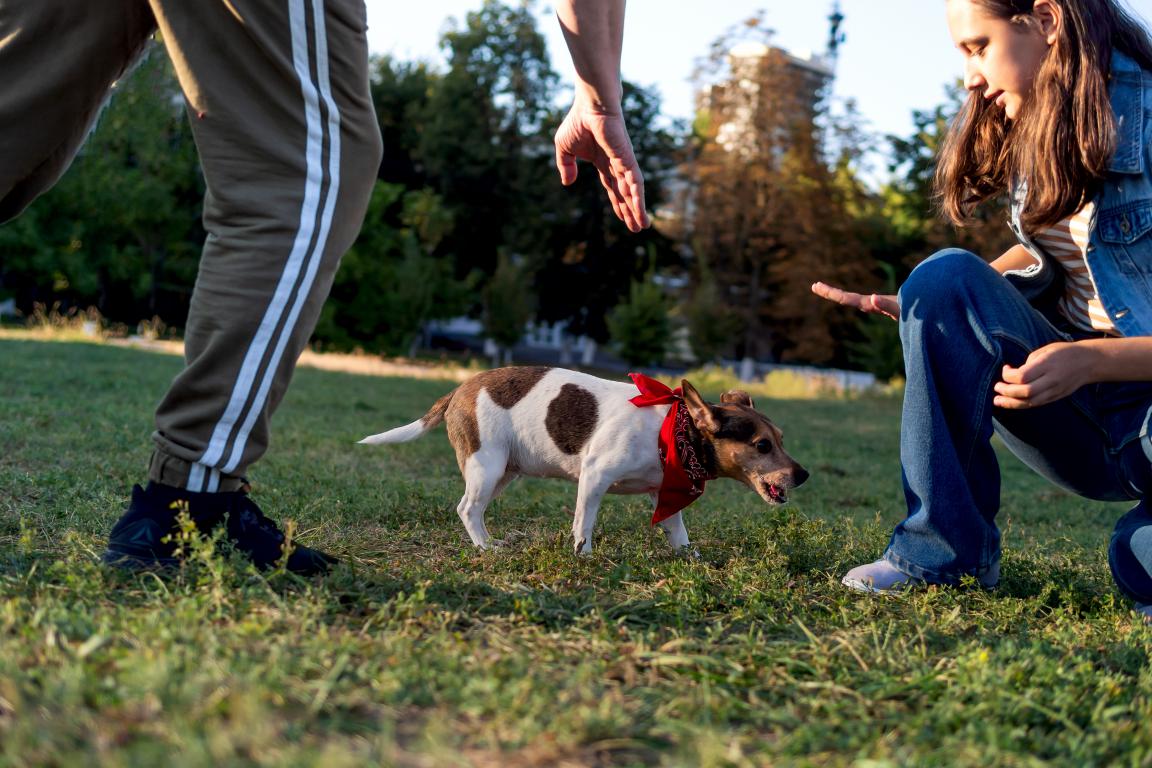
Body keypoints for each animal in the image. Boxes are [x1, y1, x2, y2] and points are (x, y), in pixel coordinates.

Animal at [359, 366, 811, 552]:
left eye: (781, 439)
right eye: (762, 446)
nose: (803, 475)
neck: (674, 429)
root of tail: (459, 389)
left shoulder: (663, 491)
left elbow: (676, 531)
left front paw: (690, 558)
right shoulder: (594, 478)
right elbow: (584, 525)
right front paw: (584, 555)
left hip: (504, 471)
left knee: (475, 508)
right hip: (486, 466)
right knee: (467, 508)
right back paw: (486, 548)